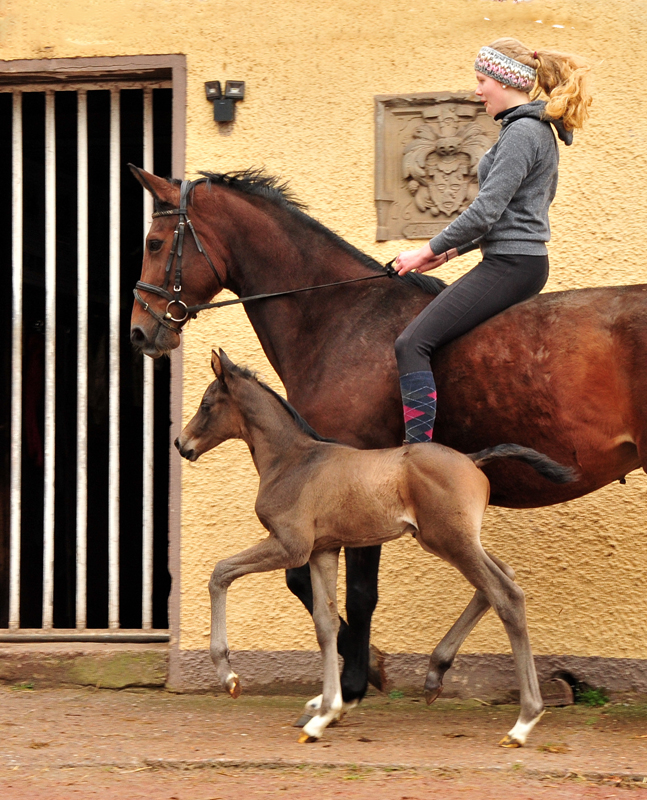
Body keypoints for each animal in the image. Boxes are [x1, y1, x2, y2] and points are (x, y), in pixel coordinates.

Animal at [175, 350, 576, 744]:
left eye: (207, 404)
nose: (181, 444)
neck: (293, 461)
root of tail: (472, 459)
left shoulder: (291, 546)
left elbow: (220, 572)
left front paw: (229, 676)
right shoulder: (322, 551)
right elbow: (325, 623)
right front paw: (324, 714)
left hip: (450, 540)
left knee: (506, 594)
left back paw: (523, 722)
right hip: (452, 540)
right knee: (500, 580)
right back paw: (435, 675)